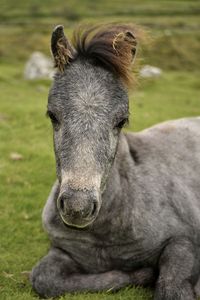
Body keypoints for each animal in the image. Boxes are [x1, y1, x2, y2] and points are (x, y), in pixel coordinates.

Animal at [30, 24, 200, 298]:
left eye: (121, 121)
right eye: (52, 115)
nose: (78, 207)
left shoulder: (184, 240)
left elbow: (171, 287)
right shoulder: (64, 251)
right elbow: (44, 278)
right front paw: (140, 274)